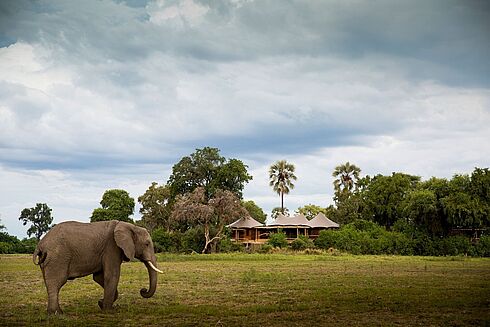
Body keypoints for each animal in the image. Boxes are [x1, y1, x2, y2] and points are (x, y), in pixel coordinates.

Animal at [32, 220, 163, 316]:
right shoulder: (112, 247)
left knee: (50, 283)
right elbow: (112, 275)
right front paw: (108, 310)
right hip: (58, 258)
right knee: (56, 282)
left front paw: (101, 303)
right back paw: (57, 314)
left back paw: (53, 313)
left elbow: (99, 277)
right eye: (147, 244)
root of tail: (40, 245)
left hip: (48, 260)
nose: (143, 290)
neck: (129, 225)